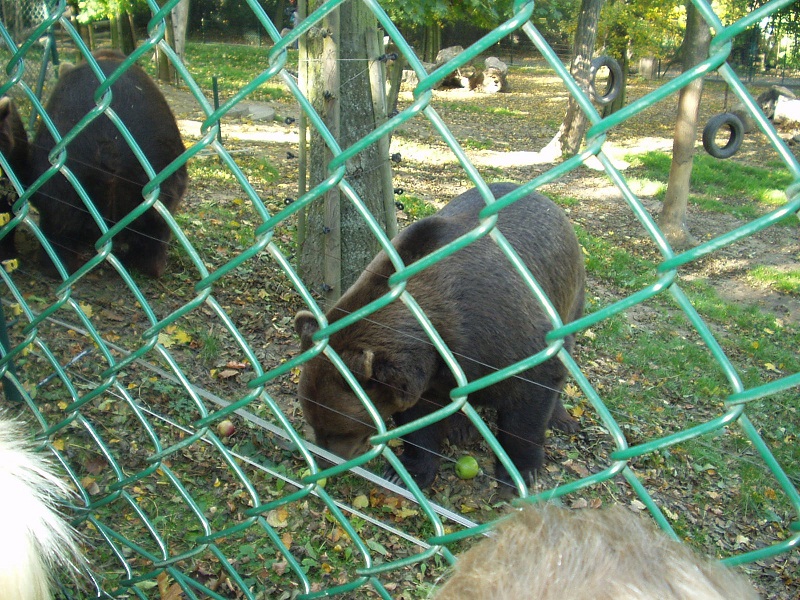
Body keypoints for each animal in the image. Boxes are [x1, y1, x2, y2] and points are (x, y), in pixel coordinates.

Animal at [294, 182, 585, 489]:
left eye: (340, 430)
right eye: (314, 422)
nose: (324, 460)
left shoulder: (504, 337)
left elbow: (530, 399)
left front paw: (520, 471)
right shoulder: (423, 373)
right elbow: (419, 421)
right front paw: (408, 472)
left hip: (568, 297)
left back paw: (561, 418)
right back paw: (460, 427)